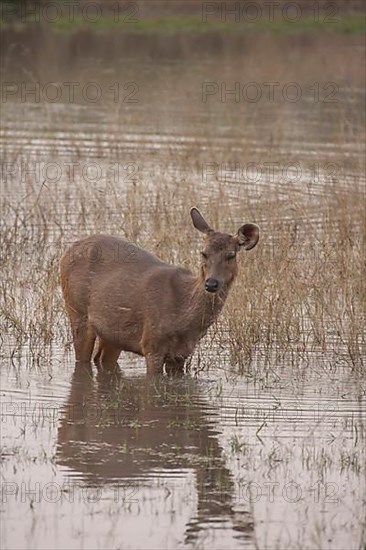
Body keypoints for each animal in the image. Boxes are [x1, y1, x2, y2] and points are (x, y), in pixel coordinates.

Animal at [60, 208, 258, 376]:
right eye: (203, 253)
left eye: (231, 255)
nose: (211, 283)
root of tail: (67, 250)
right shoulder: (152, 344)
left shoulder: (181, 354)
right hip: (77, 310)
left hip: (113, 332)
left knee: (101, 358)